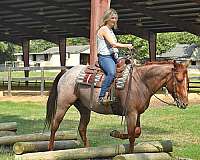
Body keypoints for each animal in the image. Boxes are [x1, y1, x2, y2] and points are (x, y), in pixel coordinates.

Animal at [45, 60, 189, 152]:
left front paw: (116, 133)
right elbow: (131, 137)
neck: (141, 82)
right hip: (63, 104)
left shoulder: (137, 114)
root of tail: (66, 72)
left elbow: (136, 132)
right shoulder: (131, 113)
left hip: (84, 108)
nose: (185, 103)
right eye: (179, 80)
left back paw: (87, 150)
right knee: (55, 125)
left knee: (82, 128)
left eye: (187, 80)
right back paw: (50, 149)